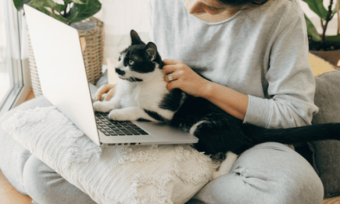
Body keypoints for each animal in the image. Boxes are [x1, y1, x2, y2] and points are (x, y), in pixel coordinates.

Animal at [94, 29, 340, 179]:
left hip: (203, 125)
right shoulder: (123, 93)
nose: (116, 69)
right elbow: (116, 99)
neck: (136, 85)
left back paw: (220, 171)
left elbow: (136, 108)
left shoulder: (164, 113)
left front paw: (118, 114)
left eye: (131, 62)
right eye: (119, 58)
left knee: (237, 147)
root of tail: (242, 125)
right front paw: (100, 105)